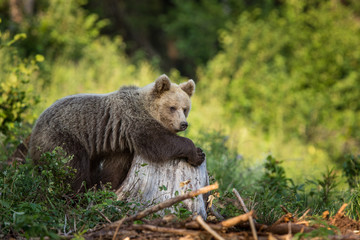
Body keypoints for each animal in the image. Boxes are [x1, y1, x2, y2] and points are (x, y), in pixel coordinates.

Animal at [29, 74, 204, 190]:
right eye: (172, 107)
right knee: (71, 166)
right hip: (62, 137)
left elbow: (114, 169)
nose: (183, 124)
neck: (148, 109)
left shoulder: (121, 145)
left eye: (185, 108)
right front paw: (197, 153)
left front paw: (107, 186)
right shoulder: (135, 121)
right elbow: (159, 143)